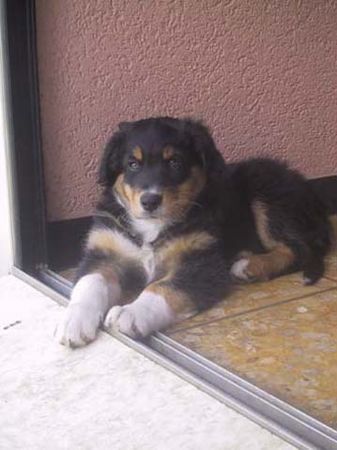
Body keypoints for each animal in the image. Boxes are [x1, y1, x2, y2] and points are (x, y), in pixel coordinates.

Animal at [55, 117, 330, 348]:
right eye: (132, 164)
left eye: (175, 162)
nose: (150, 201)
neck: (152, 226)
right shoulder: (104, 251)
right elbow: (90, 282)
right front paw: (73, 321)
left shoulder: (201, 262)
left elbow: (162, 287)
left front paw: (131, 312)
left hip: (266, 194)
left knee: (298, 250)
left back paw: (249, 266)